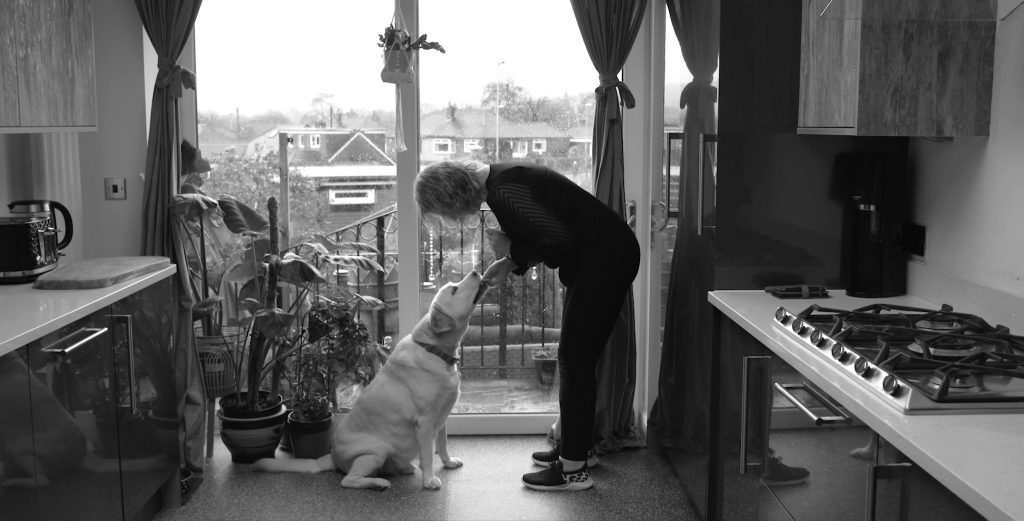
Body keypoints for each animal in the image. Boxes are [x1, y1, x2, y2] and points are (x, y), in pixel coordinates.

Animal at [253, 268, 489, 487]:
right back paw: (379, 483)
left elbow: (442, 444)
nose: (475, 272)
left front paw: (448, 463)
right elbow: (429, 454)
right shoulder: (424, 422)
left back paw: (404, 469)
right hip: (375, 452)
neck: (433, 350)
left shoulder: (442, 417)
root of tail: (332, 457)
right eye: (454, 290)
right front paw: (429, 480)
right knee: (349, 480)